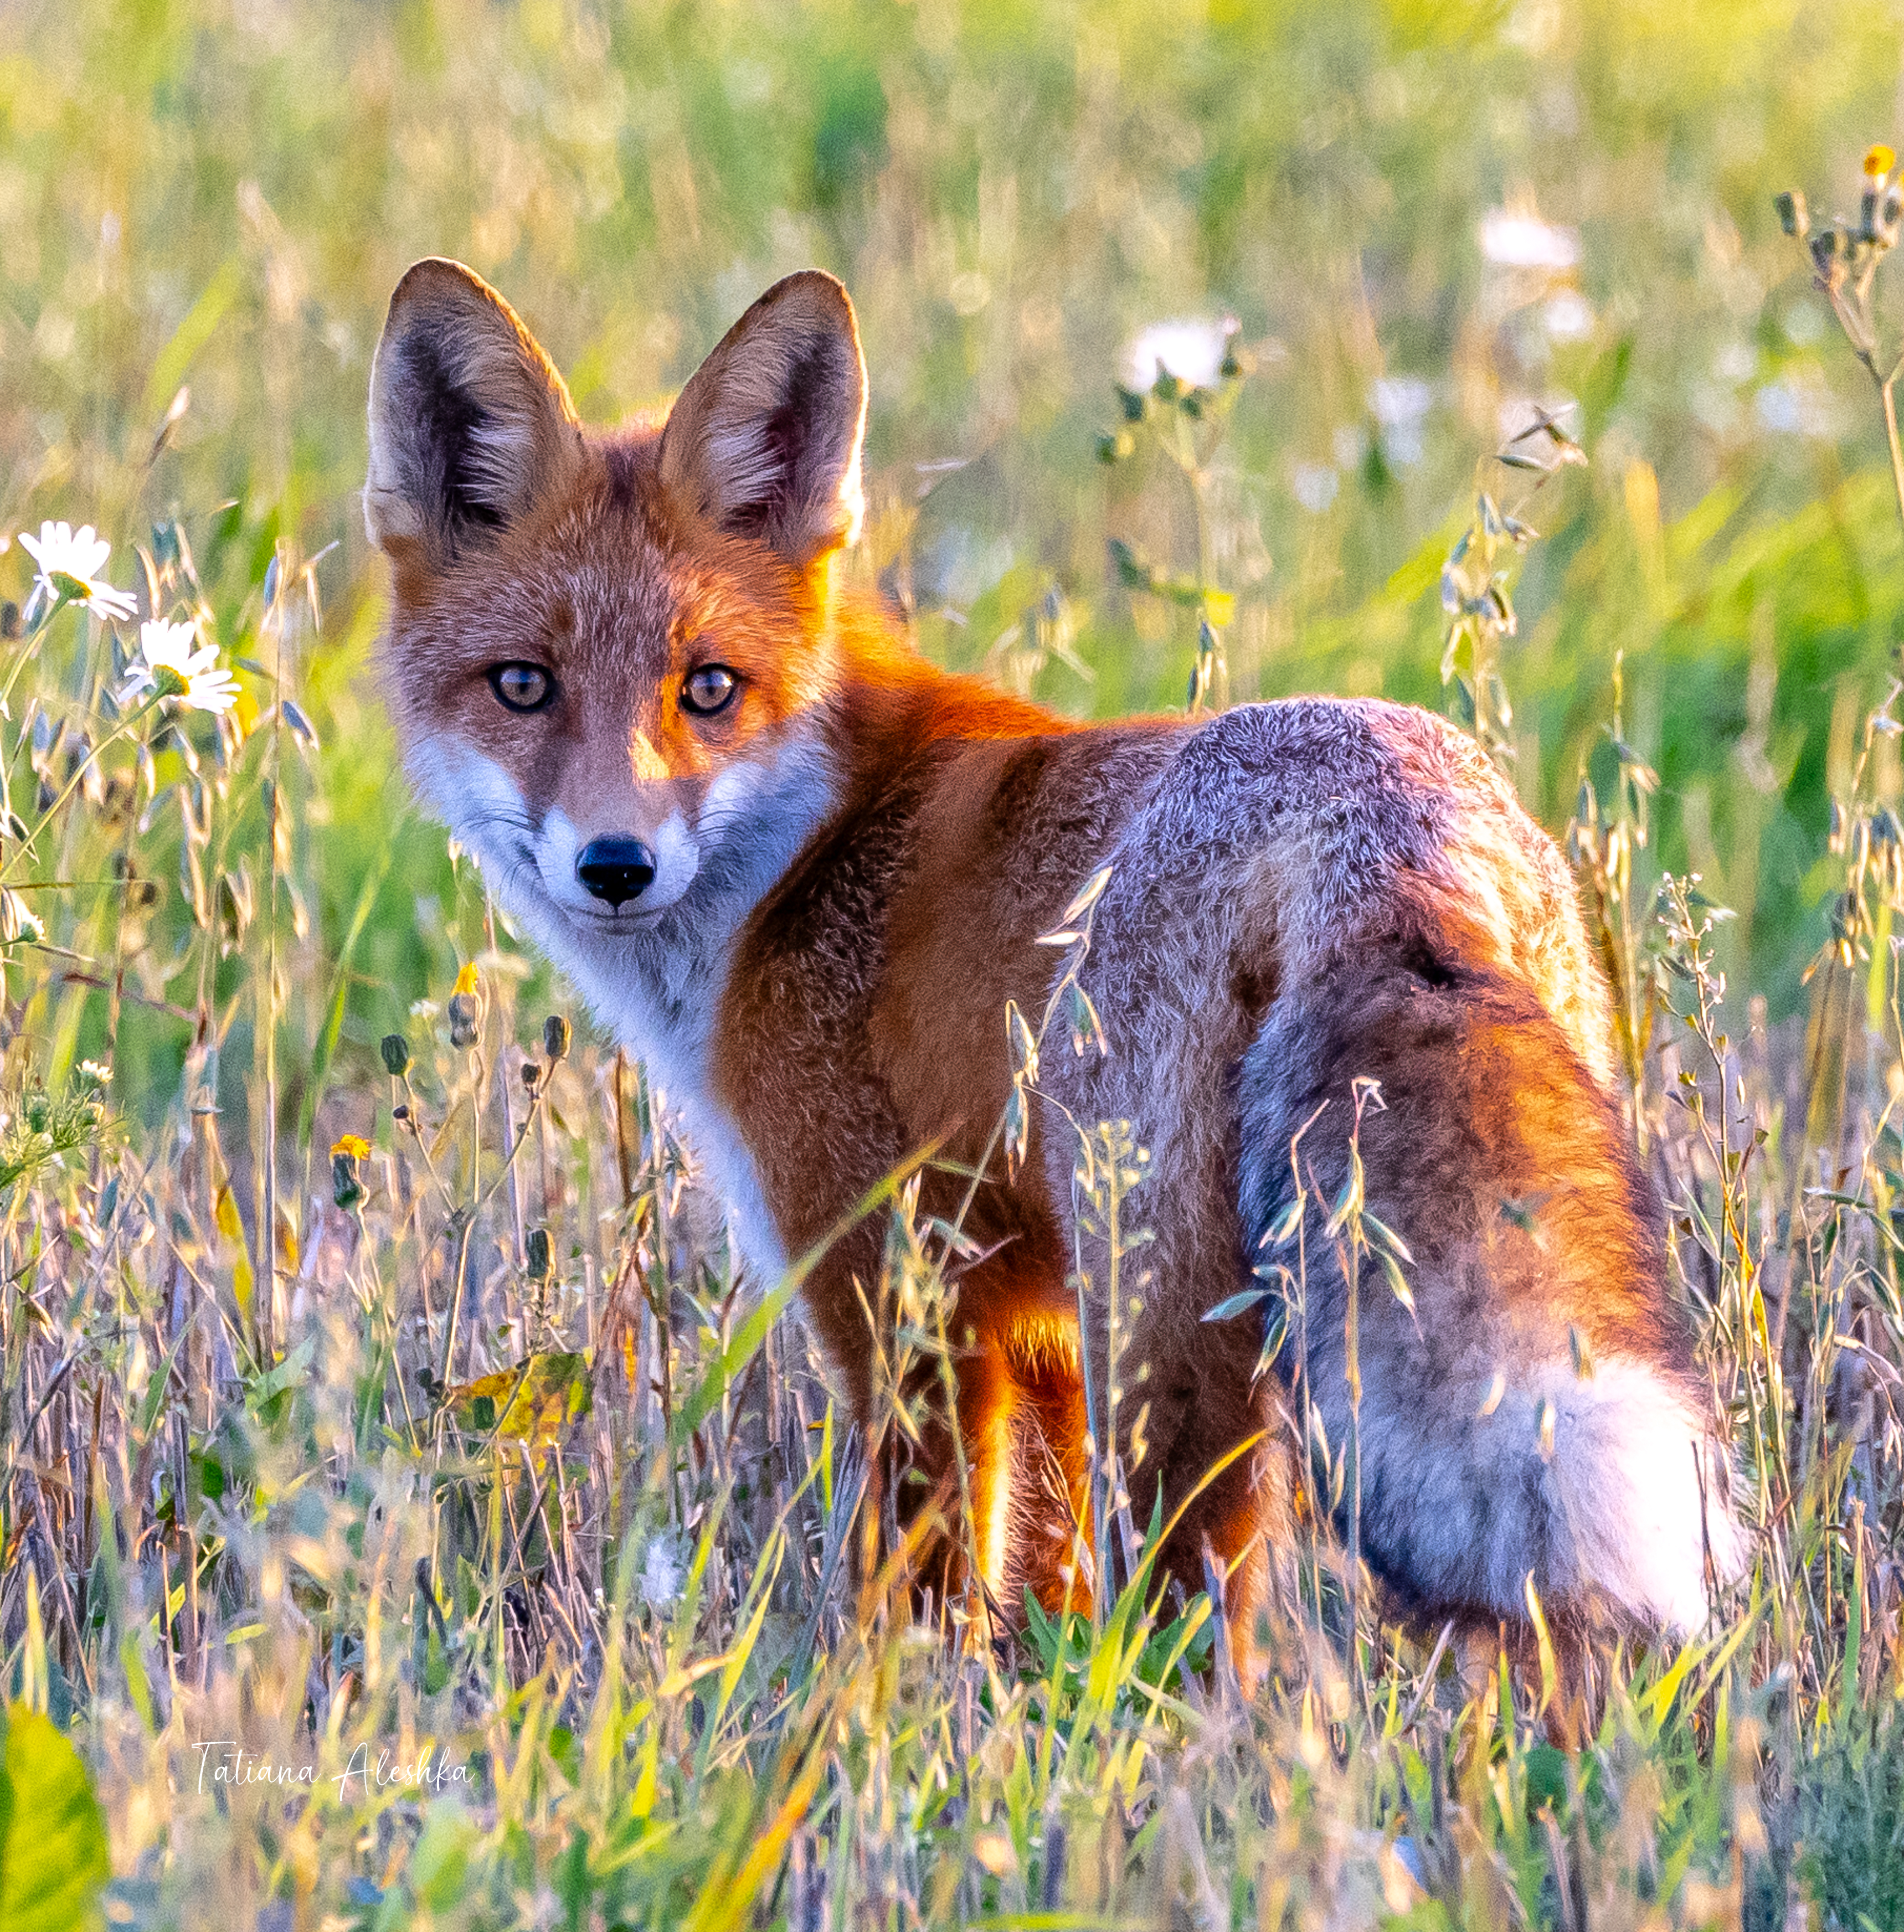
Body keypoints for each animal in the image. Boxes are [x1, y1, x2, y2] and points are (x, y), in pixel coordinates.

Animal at [363, 261, 1747, 1692]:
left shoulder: (906, 1297)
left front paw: (876, 1724)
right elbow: (1047, 1578)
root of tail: (1391, 823)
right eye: (523, 685)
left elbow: (915, 1588)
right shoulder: (1033, 1330)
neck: (809, 848)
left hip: (1164, 1338)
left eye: (708, 688)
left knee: (1207, 1632)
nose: (617, 863)